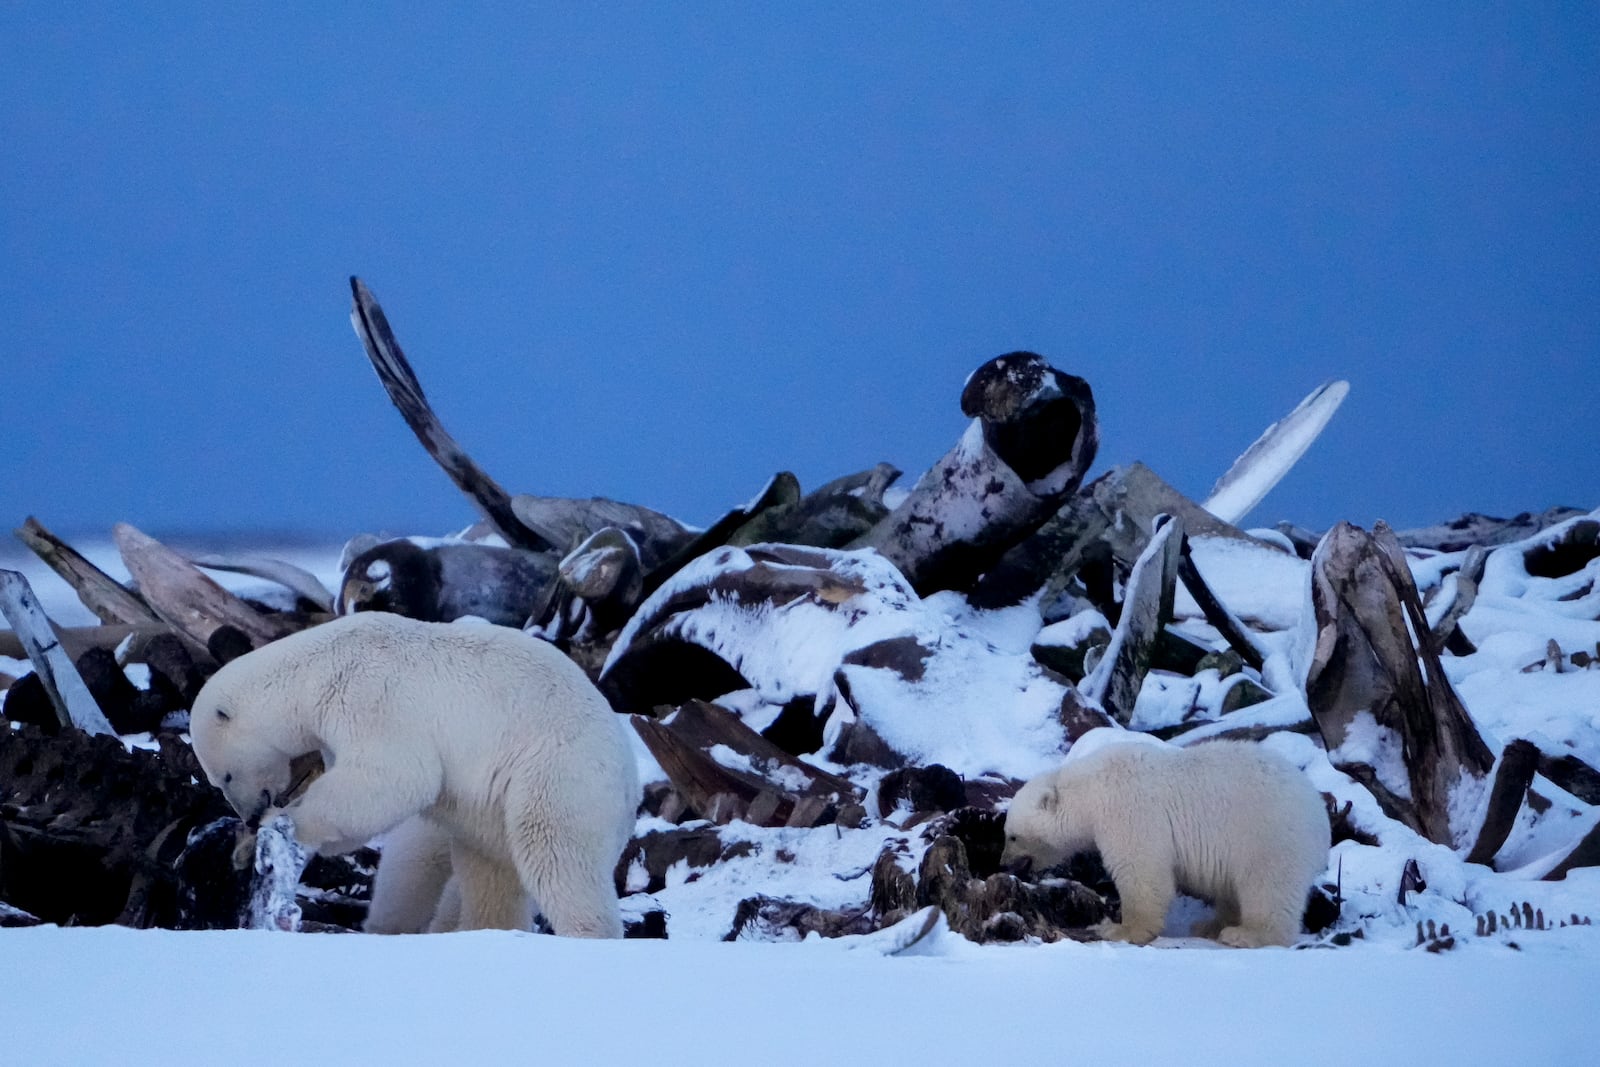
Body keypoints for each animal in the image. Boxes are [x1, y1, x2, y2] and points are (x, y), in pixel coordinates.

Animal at [196, 614, 646, 940]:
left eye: (225, 776)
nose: (250, 815)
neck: (314, 668)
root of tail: (631, 782)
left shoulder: (368, 695)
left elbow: (395, 777)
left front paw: (281, 822)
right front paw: (245, 847)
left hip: (558, 772)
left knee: (555, 851)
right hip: (494, 808)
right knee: (490, 869)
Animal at [998, 735, 1324, 953]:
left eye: (1012, 836)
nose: (1003, 863)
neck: (1088, 790)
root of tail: (1316, 804)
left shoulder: (1127, 810)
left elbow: (1142, 872)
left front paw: (1118, 928)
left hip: (1267, 834)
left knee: (1267, 886)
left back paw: (1245, 934)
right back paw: (1209, 925)